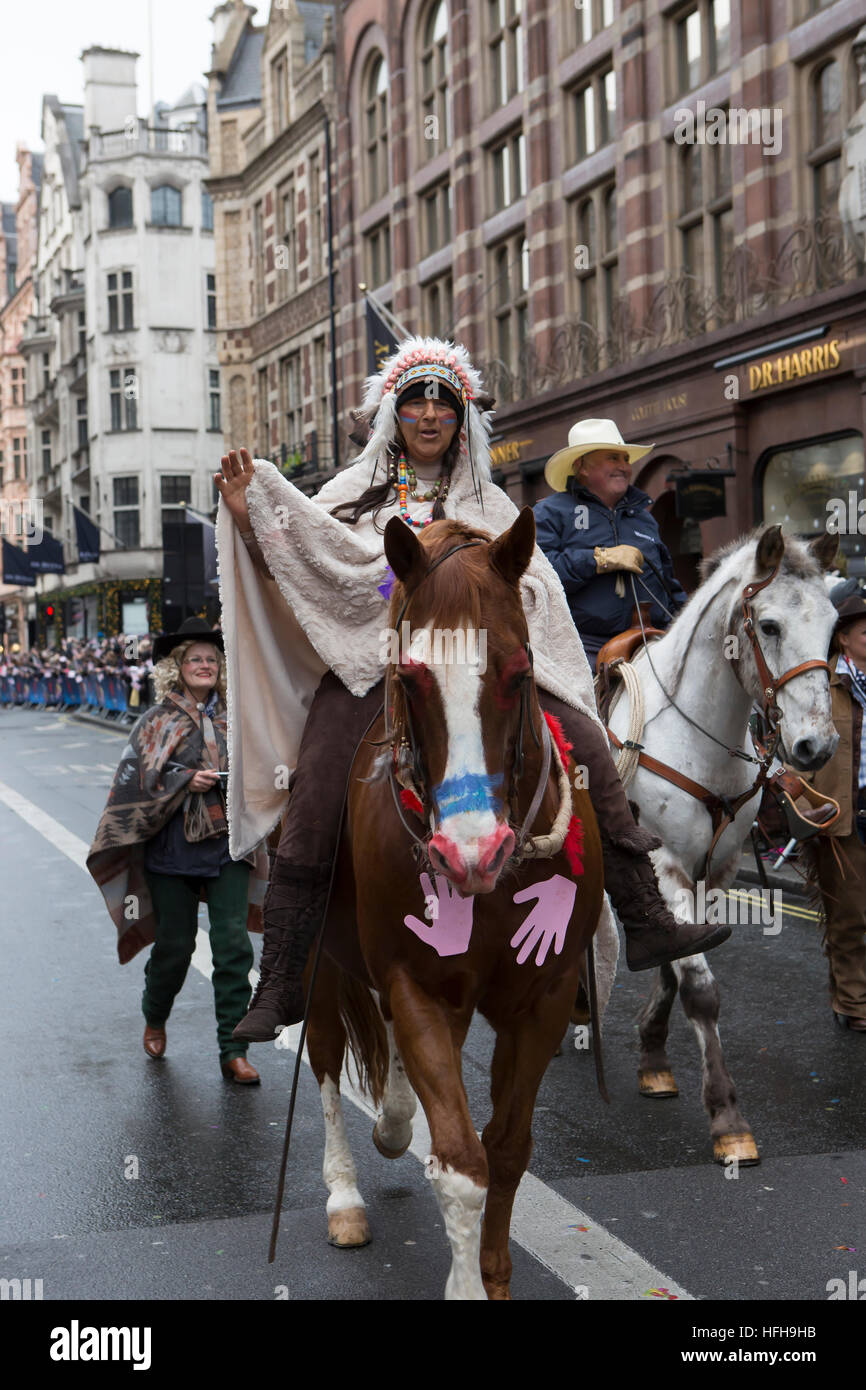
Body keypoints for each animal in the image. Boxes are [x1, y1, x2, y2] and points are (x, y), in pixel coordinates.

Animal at [304, 514, 603, 1301]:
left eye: (520, 673)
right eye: (409, 678)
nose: (472, 855)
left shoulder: (543, 996)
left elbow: (506, 1147)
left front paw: (494, 1275)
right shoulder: (421, 985)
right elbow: (463, 1163)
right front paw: (469, 1282)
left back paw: (394, 1121)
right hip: (319, 961)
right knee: (325, 1056)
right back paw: (345, 1195)